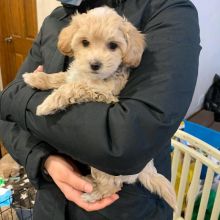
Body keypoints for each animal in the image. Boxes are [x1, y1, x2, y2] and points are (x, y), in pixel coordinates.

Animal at [23, 6, 176, 210]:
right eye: (85, 42)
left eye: (112, 46)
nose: (95, 64)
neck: (92, 77)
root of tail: (145, 169)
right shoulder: (74, 74)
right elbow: (61, 78)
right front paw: (37, 78)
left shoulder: (105, 94)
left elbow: (74, 87)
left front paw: (47, 104)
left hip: (106, 168)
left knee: (113, 186)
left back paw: (93, 193)